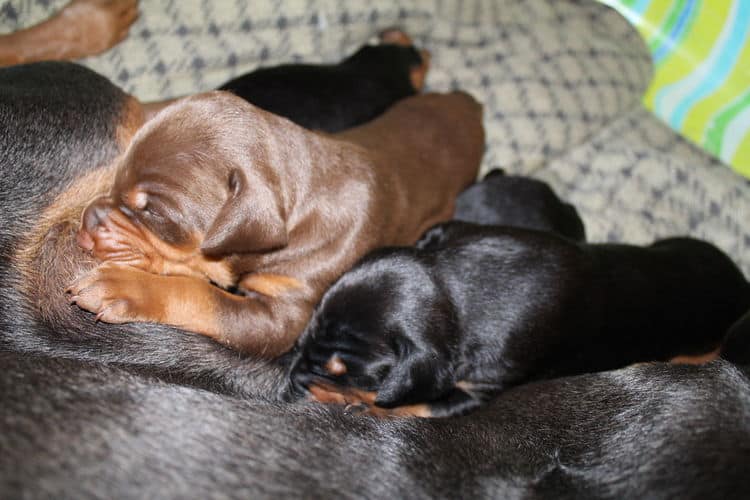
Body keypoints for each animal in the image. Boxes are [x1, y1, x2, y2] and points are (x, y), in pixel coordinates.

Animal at [67, 90, 484, 356]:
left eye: (153, 213)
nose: (88, 220)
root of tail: (469, 104)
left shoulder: (281, 312)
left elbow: (201, 295)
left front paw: (123, 286)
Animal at [290, 221, 750, 416]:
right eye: (307, 330)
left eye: (343, 372)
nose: (295, 379)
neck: (453, 288)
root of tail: (740, 281)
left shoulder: (479, 389)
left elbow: (416, 406)